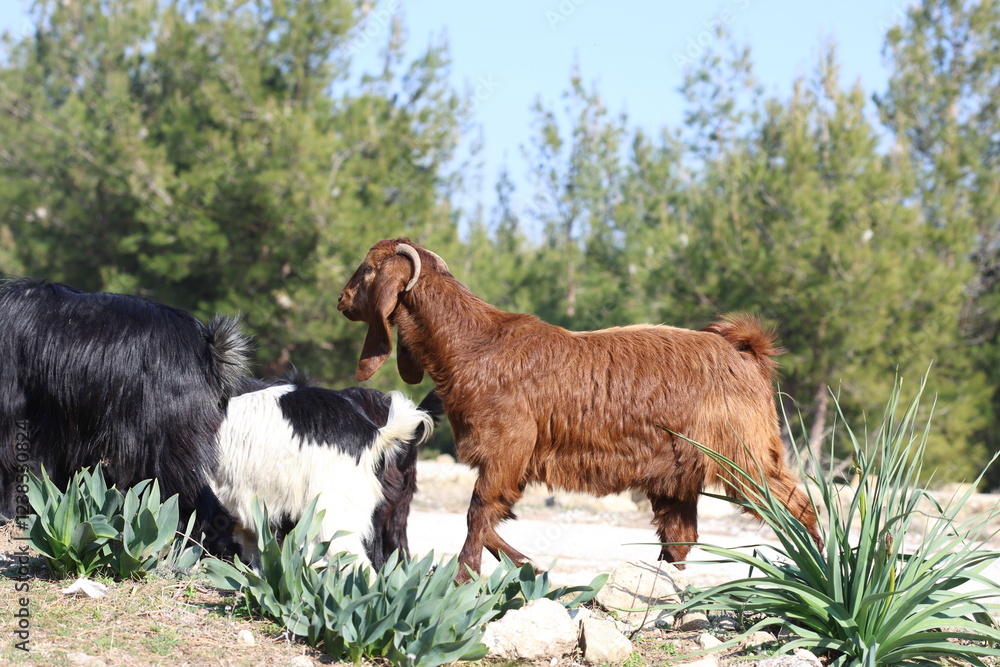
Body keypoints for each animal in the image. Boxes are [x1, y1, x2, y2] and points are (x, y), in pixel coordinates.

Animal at [338, 238, 822, 578]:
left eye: (367, 267)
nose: (341, 300)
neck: (476, 345)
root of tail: (746, 352)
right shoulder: (510, 463)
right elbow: (489, 521)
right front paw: (531, 566)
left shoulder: (506, 451)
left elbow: (477, 516)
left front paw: (465, 578)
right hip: (678, 477)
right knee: (681, 540)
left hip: (745, 459)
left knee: (797, 504)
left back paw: (817, 566)